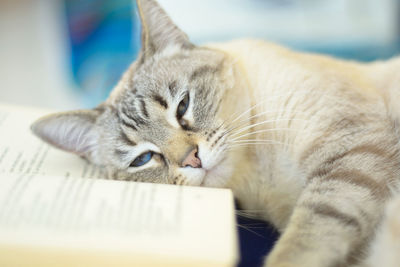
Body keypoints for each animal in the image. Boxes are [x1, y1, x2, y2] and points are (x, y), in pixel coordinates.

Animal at [31, 0, 400, 267]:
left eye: (182, 107)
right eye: (144, 158)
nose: (192, 160)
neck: (260, 174)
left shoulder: (350, 145)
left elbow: (304, 241)